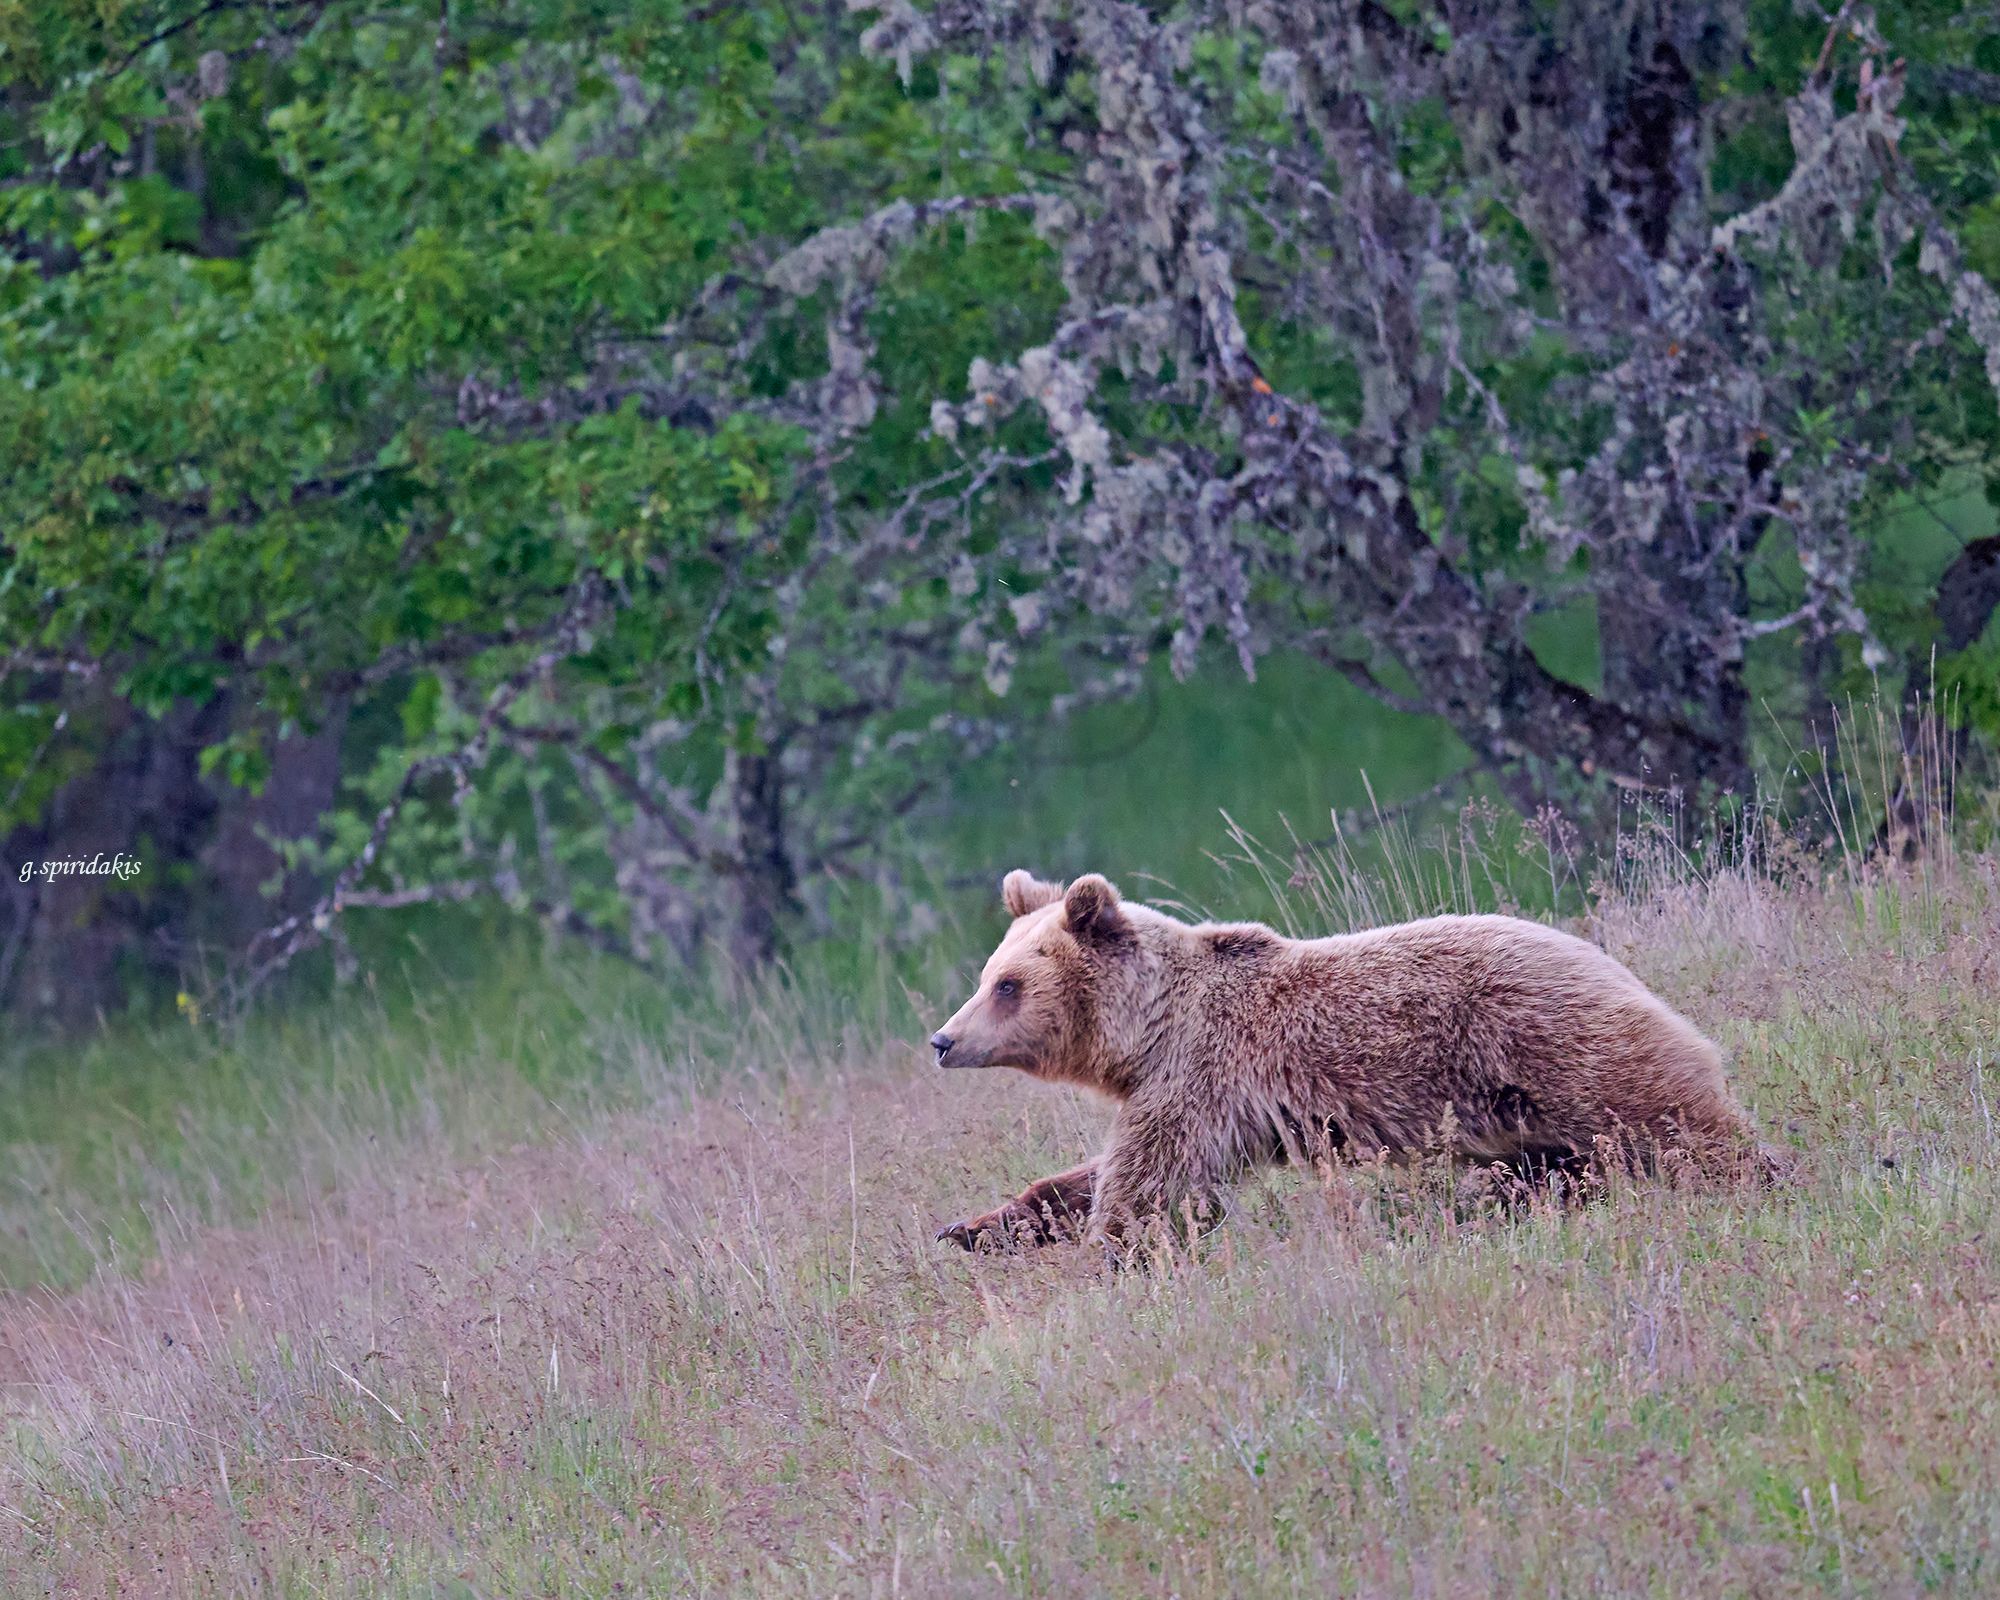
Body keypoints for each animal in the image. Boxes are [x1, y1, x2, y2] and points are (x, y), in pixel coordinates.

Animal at [931, 869, 1756, 1251]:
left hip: (1548, 1038)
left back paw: (1751, 1172)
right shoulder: (1197, 1094)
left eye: (1007, 985)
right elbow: (1101, 1175)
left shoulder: (1202, 1076)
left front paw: (1112, 1254)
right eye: (987, 974)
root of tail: (1604, 957)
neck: (1150, 1029)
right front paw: (976, 1227)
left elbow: (1150, 1188)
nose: (943, 1039)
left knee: (1664, 1113)